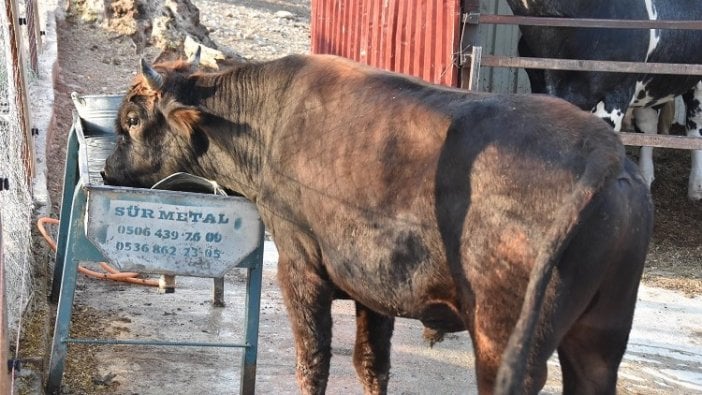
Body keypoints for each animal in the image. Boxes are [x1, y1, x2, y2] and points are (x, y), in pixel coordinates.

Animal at [102, 53, 656, 395]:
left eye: (132, 119)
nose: (107, 169)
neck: (268, 122)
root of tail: (605, 154)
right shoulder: (372, 289)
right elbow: (371, 366)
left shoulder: (301, 270)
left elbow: (313, 362)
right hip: (599, 339)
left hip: (504, 341)